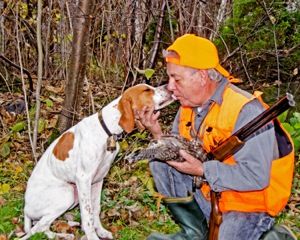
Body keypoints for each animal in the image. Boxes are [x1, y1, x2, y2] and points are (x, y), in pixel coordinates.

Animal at [21, 84, 172, 240]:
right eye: (146, 90)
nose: (168, 86)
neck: (107, 132)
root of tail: (26, 210)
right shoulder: (83, 179)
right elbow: (87, 214)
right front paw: (92, 236)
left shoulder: (98, 179)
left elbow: (95, 209)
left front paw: (100, 230)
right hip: (67, 194)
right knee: (36, 229)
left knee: (41, 226)